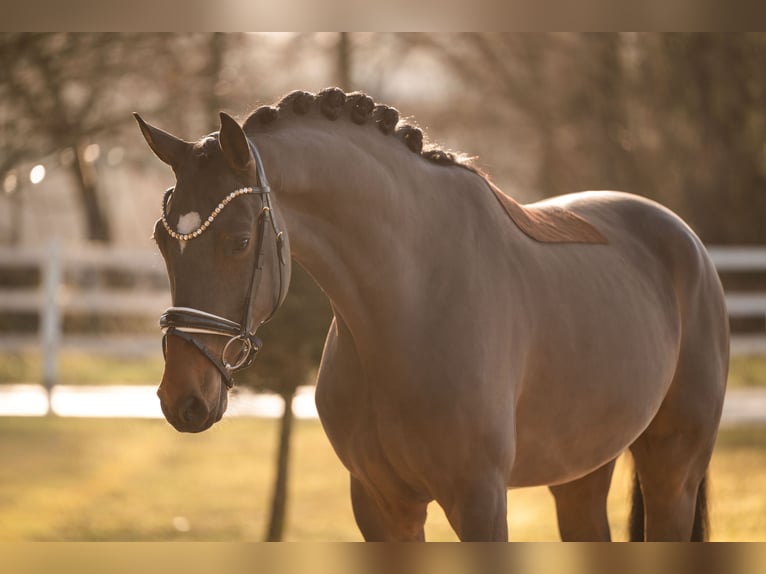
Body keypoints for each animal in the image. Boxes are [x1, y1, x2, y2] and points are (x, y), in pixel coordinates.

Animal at [134, 88, 729, 541]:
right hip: (580, 474)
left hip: (673, 471)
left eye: (238, 241)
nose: (182, 398)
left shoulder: (480, 501)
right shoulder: (381, 505)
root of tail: (688, 242)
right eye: (162, 240)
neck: (408, 307)